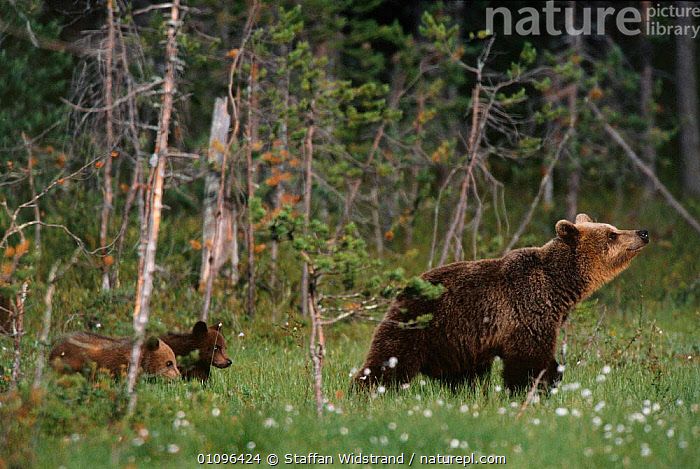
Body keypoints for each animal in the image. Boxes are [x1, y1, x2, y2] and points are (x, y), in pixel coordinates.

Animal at [354, 214, 649, 392]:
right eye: (611, 234)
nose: (643, 232)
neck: (559, 286)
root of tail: (407, 286)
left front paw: (552, 380)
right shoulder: (526, 310)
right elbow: (528, 360)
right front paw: (531, 388)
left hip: (456, 341)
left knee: (461, 374)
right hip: (424, 324)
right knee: (391, 359)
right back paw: (365, 390)